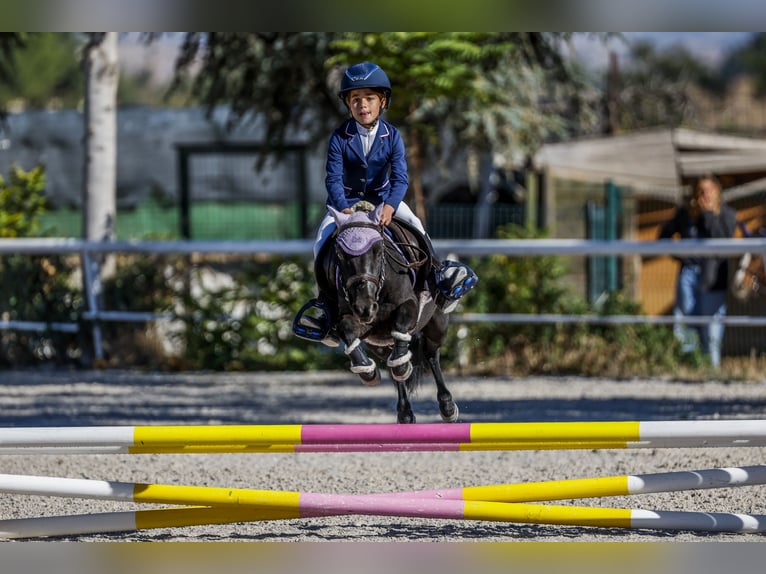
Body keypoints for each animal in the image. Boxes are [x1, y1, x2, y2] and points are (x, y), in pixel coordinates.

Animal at [316, 201, 460, 424]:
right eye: (340, 254)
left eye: (379, 250)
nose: (365, 307)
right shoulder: (352, 320)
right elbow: (348, 332)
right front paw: (367, 371)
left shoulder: (409, 305)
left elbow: (401, 325)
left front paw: (403, 367)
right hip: (379, 345)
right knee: (394, 362)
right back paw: (405, 413)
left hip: (437, 325)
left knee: (431, 354)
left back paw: (447, 406)